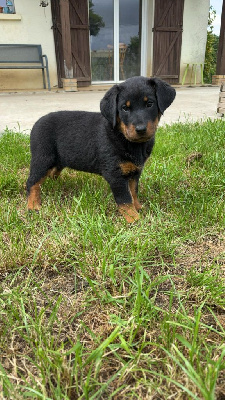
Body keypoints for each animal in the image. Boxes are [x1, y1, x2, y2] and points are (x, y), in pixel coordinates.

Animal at [25, 76, 174, 222]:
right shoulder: (115, 175)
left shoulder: (135, 171)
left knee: (51, 174)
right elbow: (125, 199)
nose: (141, 129)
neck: (124, 138)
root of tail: (36, 123)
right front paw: (134, 218)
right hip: (43, 159)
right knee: (32, 182)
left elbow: (133, 192)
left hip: (58, 160)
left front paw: (138, 207)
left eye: (149, 104)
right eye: (125, 108)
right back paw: (33, 205)